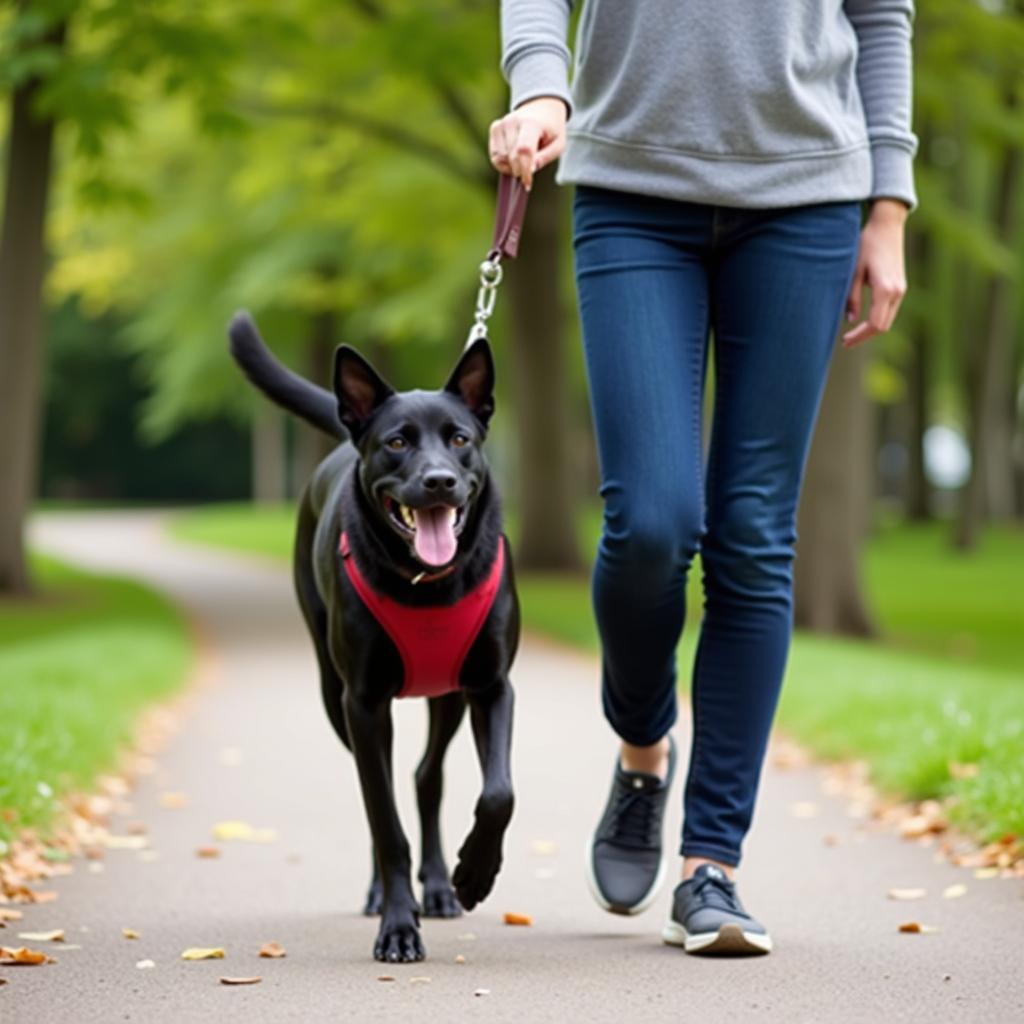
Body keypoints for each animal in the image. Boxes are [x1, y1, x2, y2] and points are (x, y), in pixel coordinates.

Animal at [231, 311, 520, 958]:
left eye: (459, 439)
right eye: (397, 442)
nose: (438, 482)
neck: (426, 581)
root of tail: (345, 436)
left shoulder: (492, 686)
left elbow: (498, 794)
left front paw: (474, 873)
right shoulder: (363, 701)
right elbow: (384, 822)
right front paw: (398, 926)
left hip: (448, 694)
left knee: (425, 778)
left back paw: (438, 887)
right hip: (332, 693)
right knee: (378, 791)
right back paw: (387, 895)